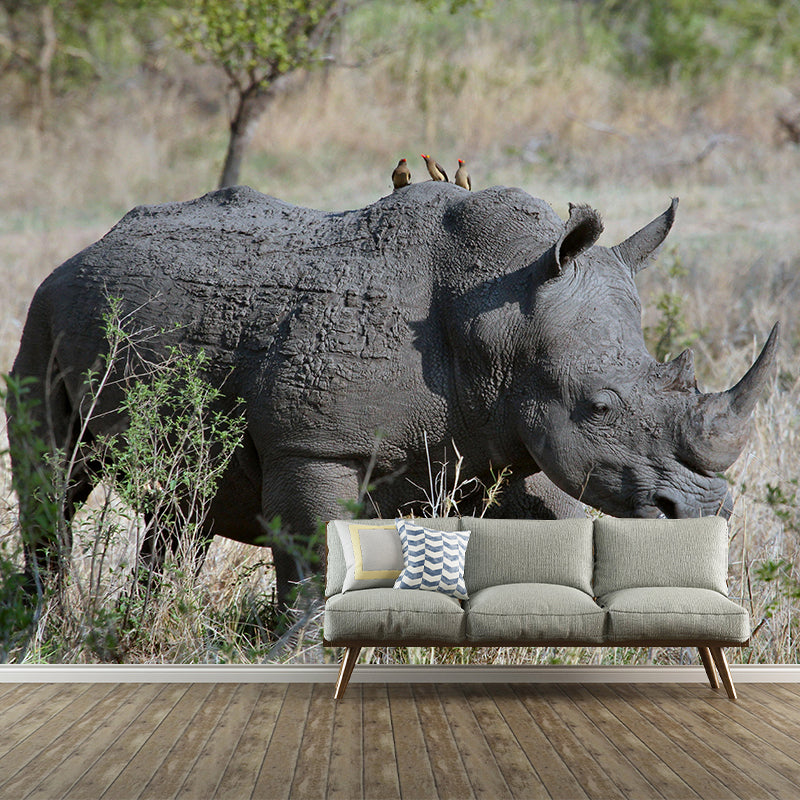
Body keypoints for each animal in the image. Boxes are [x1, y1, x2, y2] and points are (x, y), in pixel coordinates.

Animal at [8, 182, 778, 607]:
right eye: (600, 406)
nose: (702, 513)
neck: (499, 316)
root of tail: (85, 250)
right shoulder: (315, 446)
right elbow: (317, 557)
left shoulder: (498, 437)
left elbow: (553, 527)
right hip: (43, 309)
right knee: (54, 478)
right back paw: (44, 628)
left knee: (181, 507)